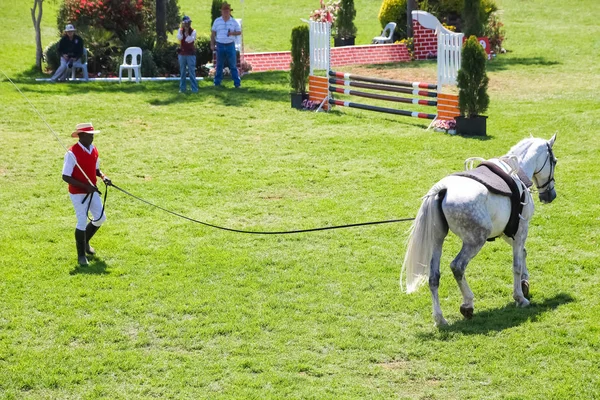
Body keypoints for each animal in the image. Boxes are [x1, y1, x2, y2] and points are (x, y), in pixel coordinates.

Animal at [404, 136, 556, 326]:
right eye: (554, 161)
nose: (551, 195)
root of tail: (442, 189)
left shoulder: (507, 231)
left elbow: (523, 253)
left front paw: (524, 283)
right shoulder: (521, 228)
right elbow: (517, 264)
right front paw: (520, 297)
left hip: (437, 241)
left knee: (434, 277)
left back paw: (440, 319)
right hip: (475, 241)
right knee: (457, 266)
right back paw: (467, 304)